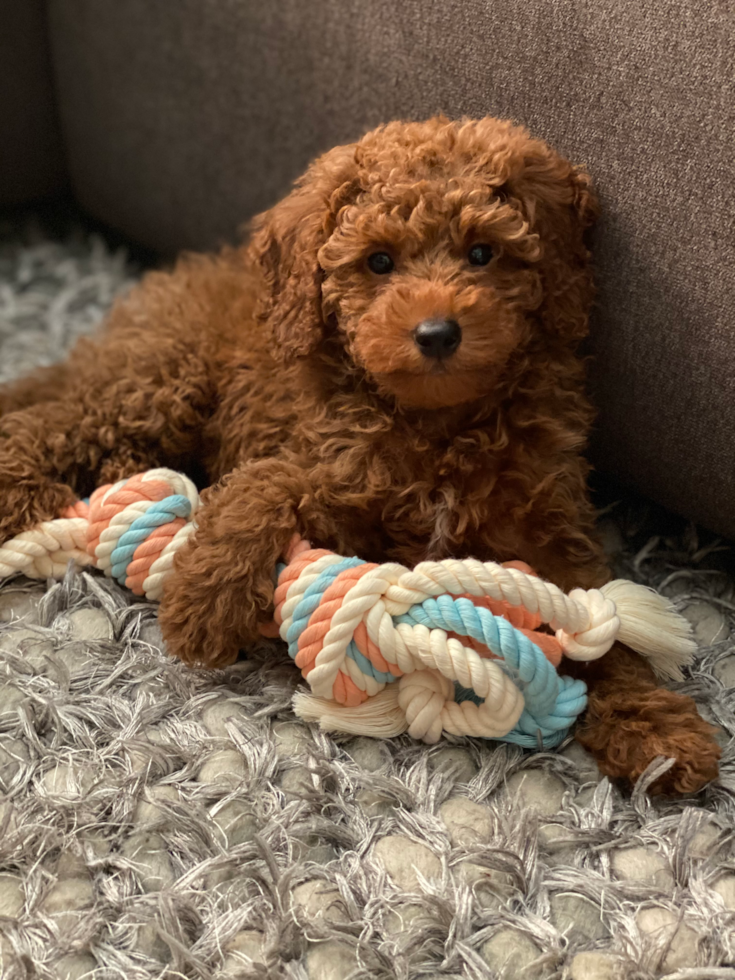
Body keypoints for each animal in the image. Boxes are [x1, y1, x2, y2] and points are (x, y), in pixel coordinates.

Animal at [0, 118, 720, 796]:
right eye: (378, 262)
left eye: (482, 253)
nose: (436, 333)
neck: (437, 425)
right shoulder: (324, 466)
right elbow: (261, 485)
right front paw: (203, 603)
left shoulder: (550, 527)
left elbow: (607, 628)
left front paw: (655, 730)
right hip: (163, 380)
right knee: (52, 419)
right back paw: (23, 489)